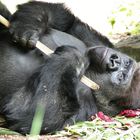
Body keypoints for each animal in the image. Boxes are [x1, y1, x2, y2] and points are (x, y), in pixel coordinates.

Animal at [0, 0, 139, 135]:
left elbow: (32, 115)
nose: (114, 60)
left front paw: (72, 58)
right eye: (126, 64)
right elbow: (70, 23)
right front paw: (29, 23)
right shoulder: (97, 42)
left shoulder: (87, 107)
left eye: (121, 77)